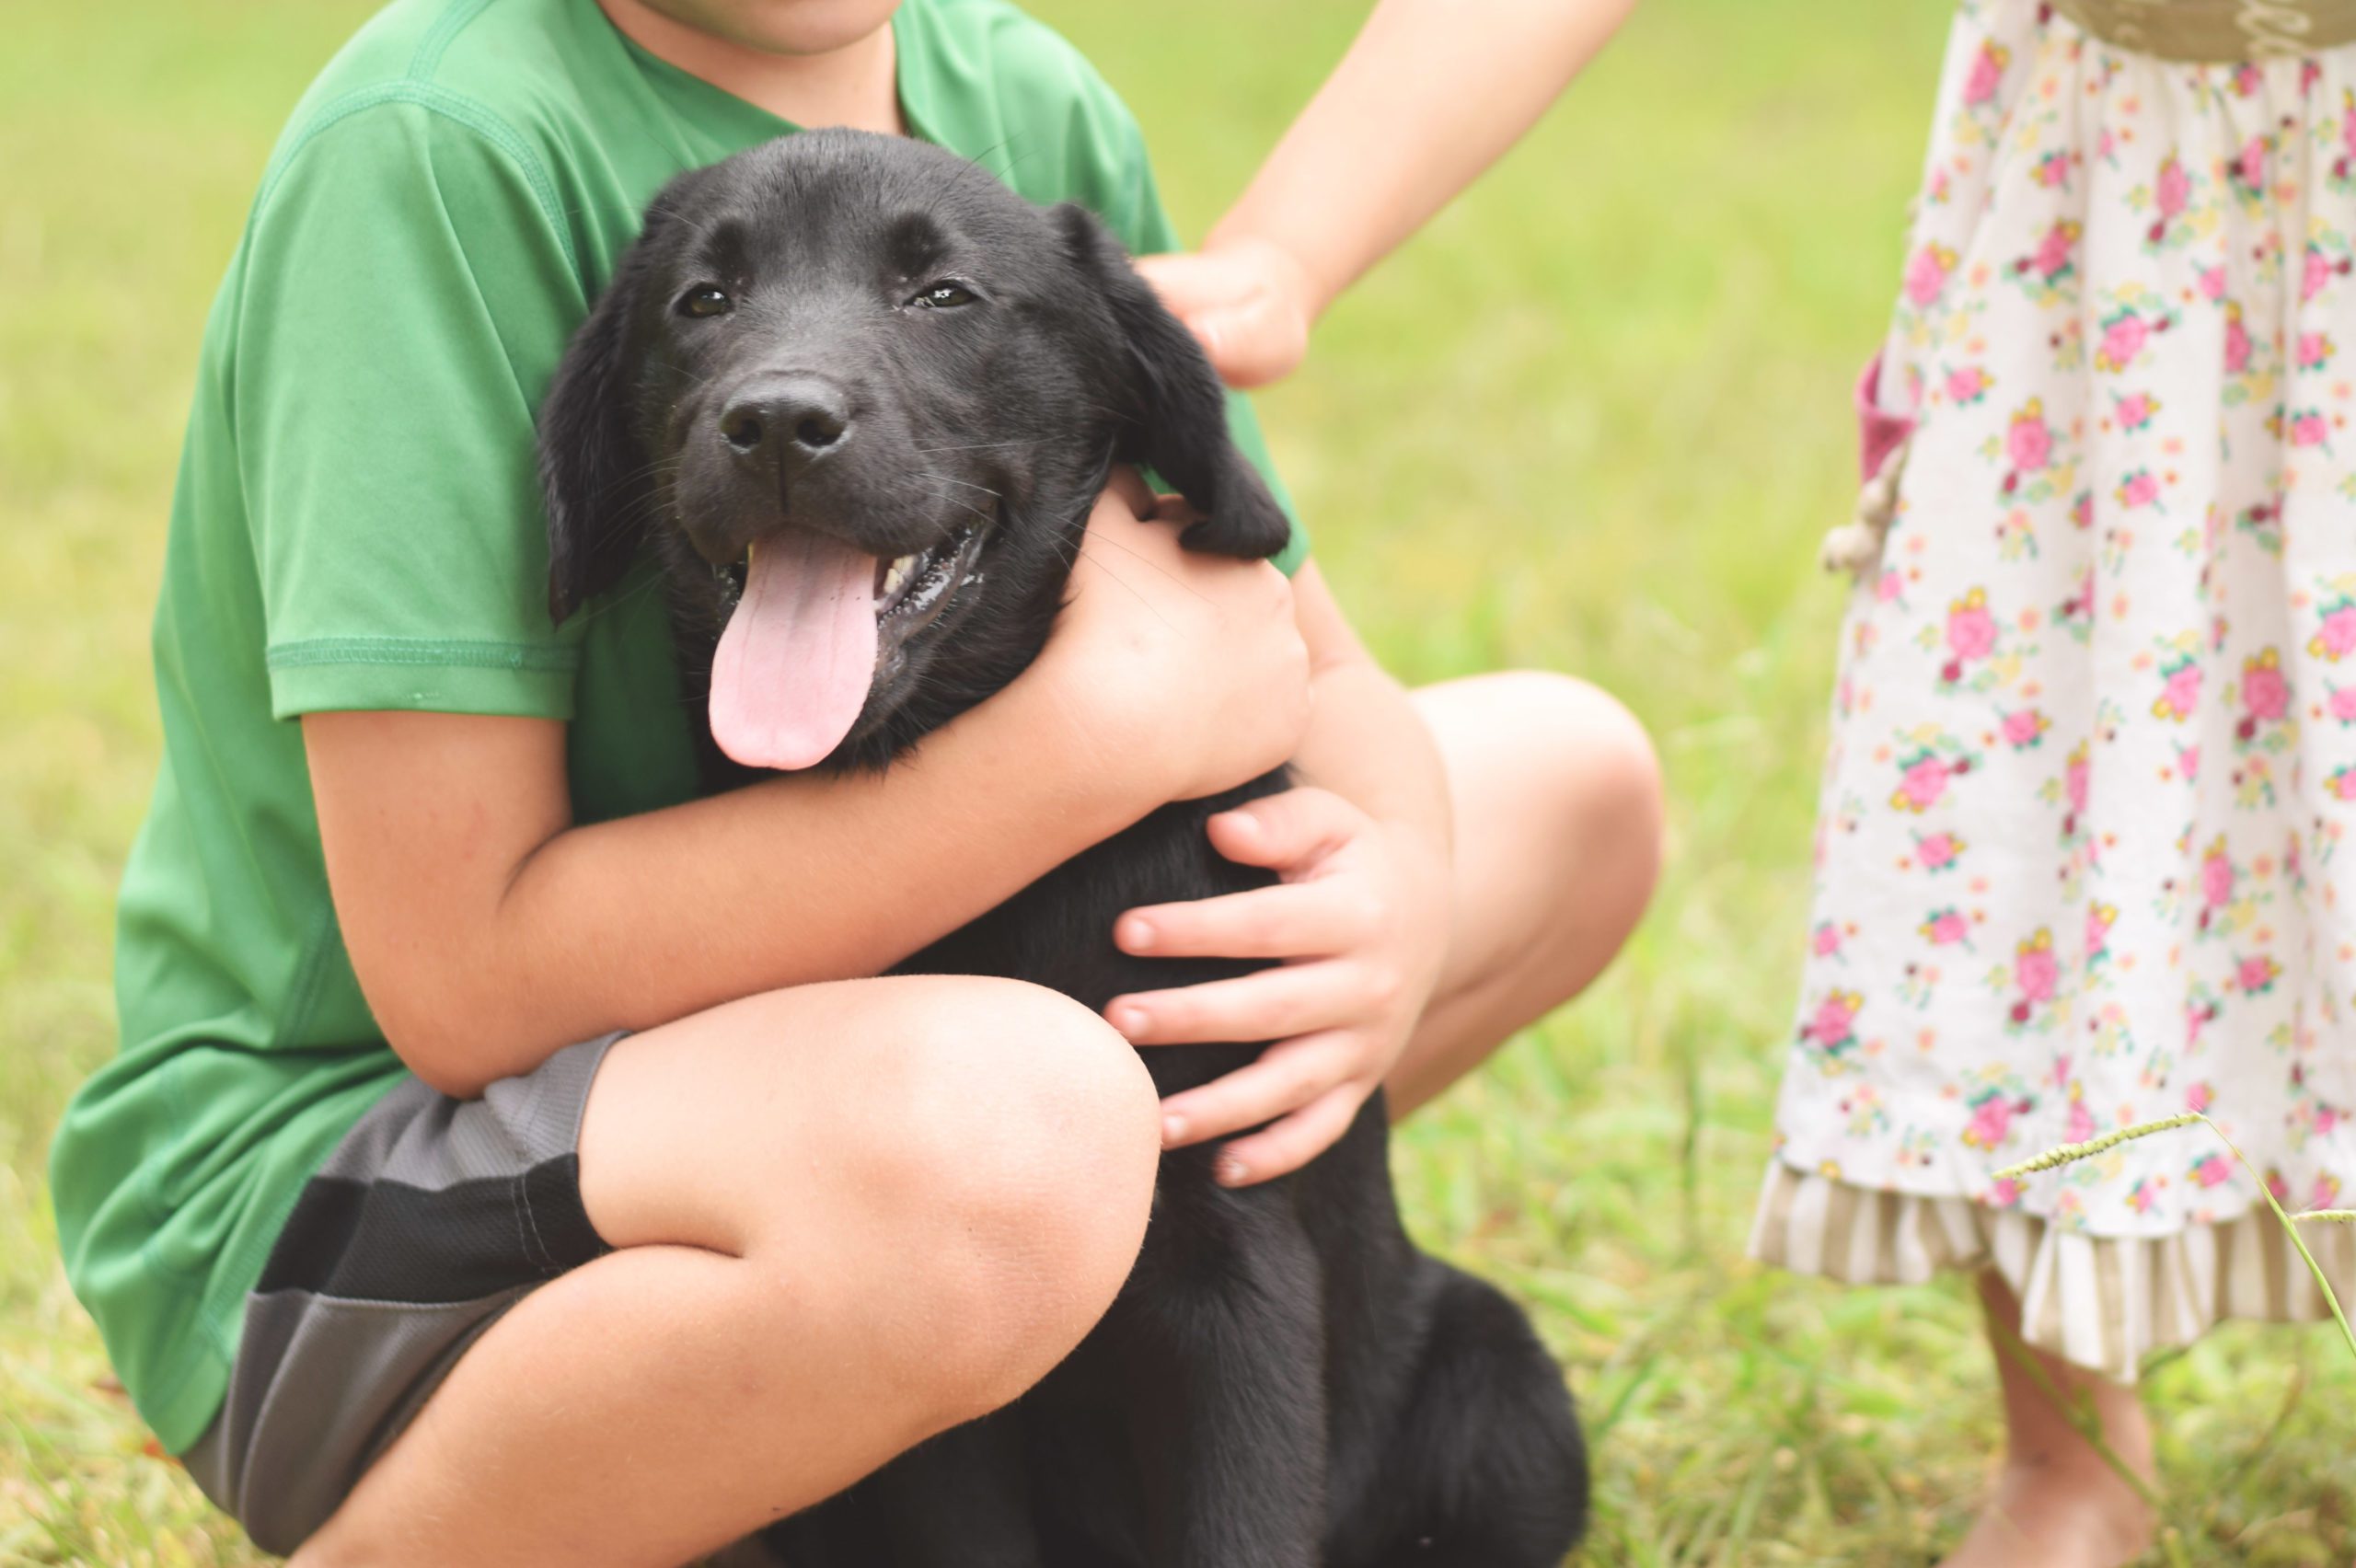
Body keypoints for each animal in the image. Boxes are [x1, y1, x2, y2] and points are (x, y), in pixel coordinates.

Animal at [541, 128, 1592, 1553]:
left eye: (942, 295)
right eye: (703, 302)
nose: (776, 422)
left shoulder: (1234, 1245)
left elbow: (1246, 1525)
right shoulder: (942, 1420)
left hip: (1507, 1399)